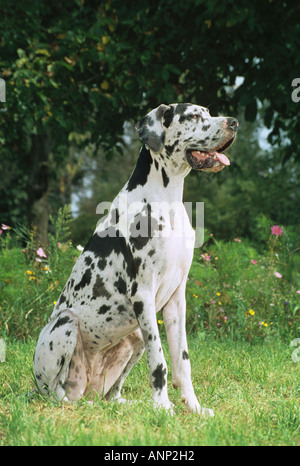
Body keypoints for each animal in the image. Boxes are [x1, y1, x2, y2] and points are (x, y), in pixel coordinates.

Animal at [33, 104, 239, 416]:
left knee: (110, 394)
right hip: (66, 324)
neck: (167, 200)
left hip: (135, 337)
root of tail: (86, 391)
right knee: (57, 393)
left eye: (209, 112)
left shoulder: (176, 298)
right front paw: (164, 407)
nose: (234, 122)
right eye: (193, 116)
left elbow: (182, 361)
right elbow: (160, 361)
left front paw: (193, 407)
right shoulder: (143, 294)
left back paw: (127, 403)